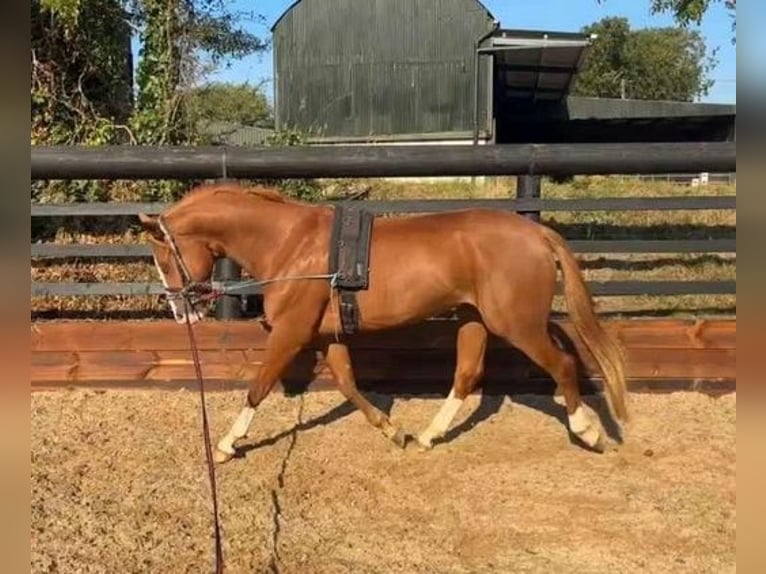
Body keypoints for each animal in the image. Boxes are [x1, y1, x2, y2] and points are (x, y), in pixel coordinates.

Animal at [140, 183, 632, 464]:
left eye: (163, 257)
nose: (181, 311)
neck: (290, 244)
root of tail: (537, 233)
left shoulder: (292, 333)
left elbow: (258, 386)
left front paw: (226, 445)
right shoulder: (327, 335)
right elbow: (348, 384)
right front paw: (393, 431)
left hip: (517, 323)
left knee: (563, 365)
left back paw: (589, 432)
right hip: (473, 318)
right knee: (467, 374)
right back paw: (428, 436)